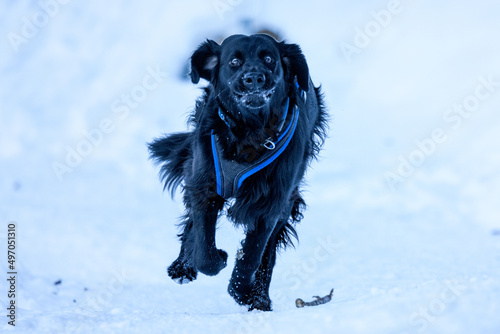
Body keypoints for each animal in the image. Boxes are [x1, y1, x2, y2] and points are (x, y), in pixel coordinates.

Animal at [148, 34, 328, 310]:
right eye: (234, 61)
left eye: (269, 59)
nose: (254, 78)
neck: (249, 133)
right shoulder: (206, 187)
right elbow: (205, 253)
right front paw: (214, 258)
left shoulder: (269, 204)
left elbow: (252, 256)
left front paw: (243, 293)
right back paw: (182, 267)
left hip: (285, 204)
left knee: (268, 255)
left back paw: (260, 298)